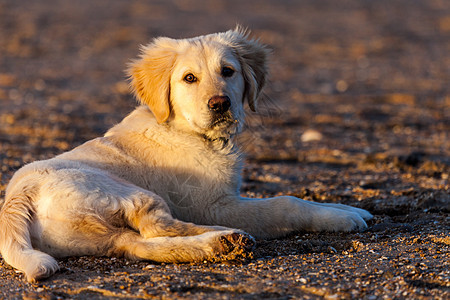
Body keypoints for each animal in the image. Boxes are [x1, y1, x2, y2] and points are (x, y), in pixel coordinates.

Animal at [0, 28, 372, 282]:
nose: (220, 104)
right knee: (156, 226)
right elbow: (286, 202)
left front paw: (346, 208)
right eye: (189, 78)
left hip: (97, 236)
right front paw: (339, 216)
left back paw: (220, 244)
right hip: (126, 191)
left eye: (228, 71)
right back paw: (228, 237)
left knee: (140, 244)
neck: (190, 132)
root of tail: (16, 197)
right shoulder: (213, 204)